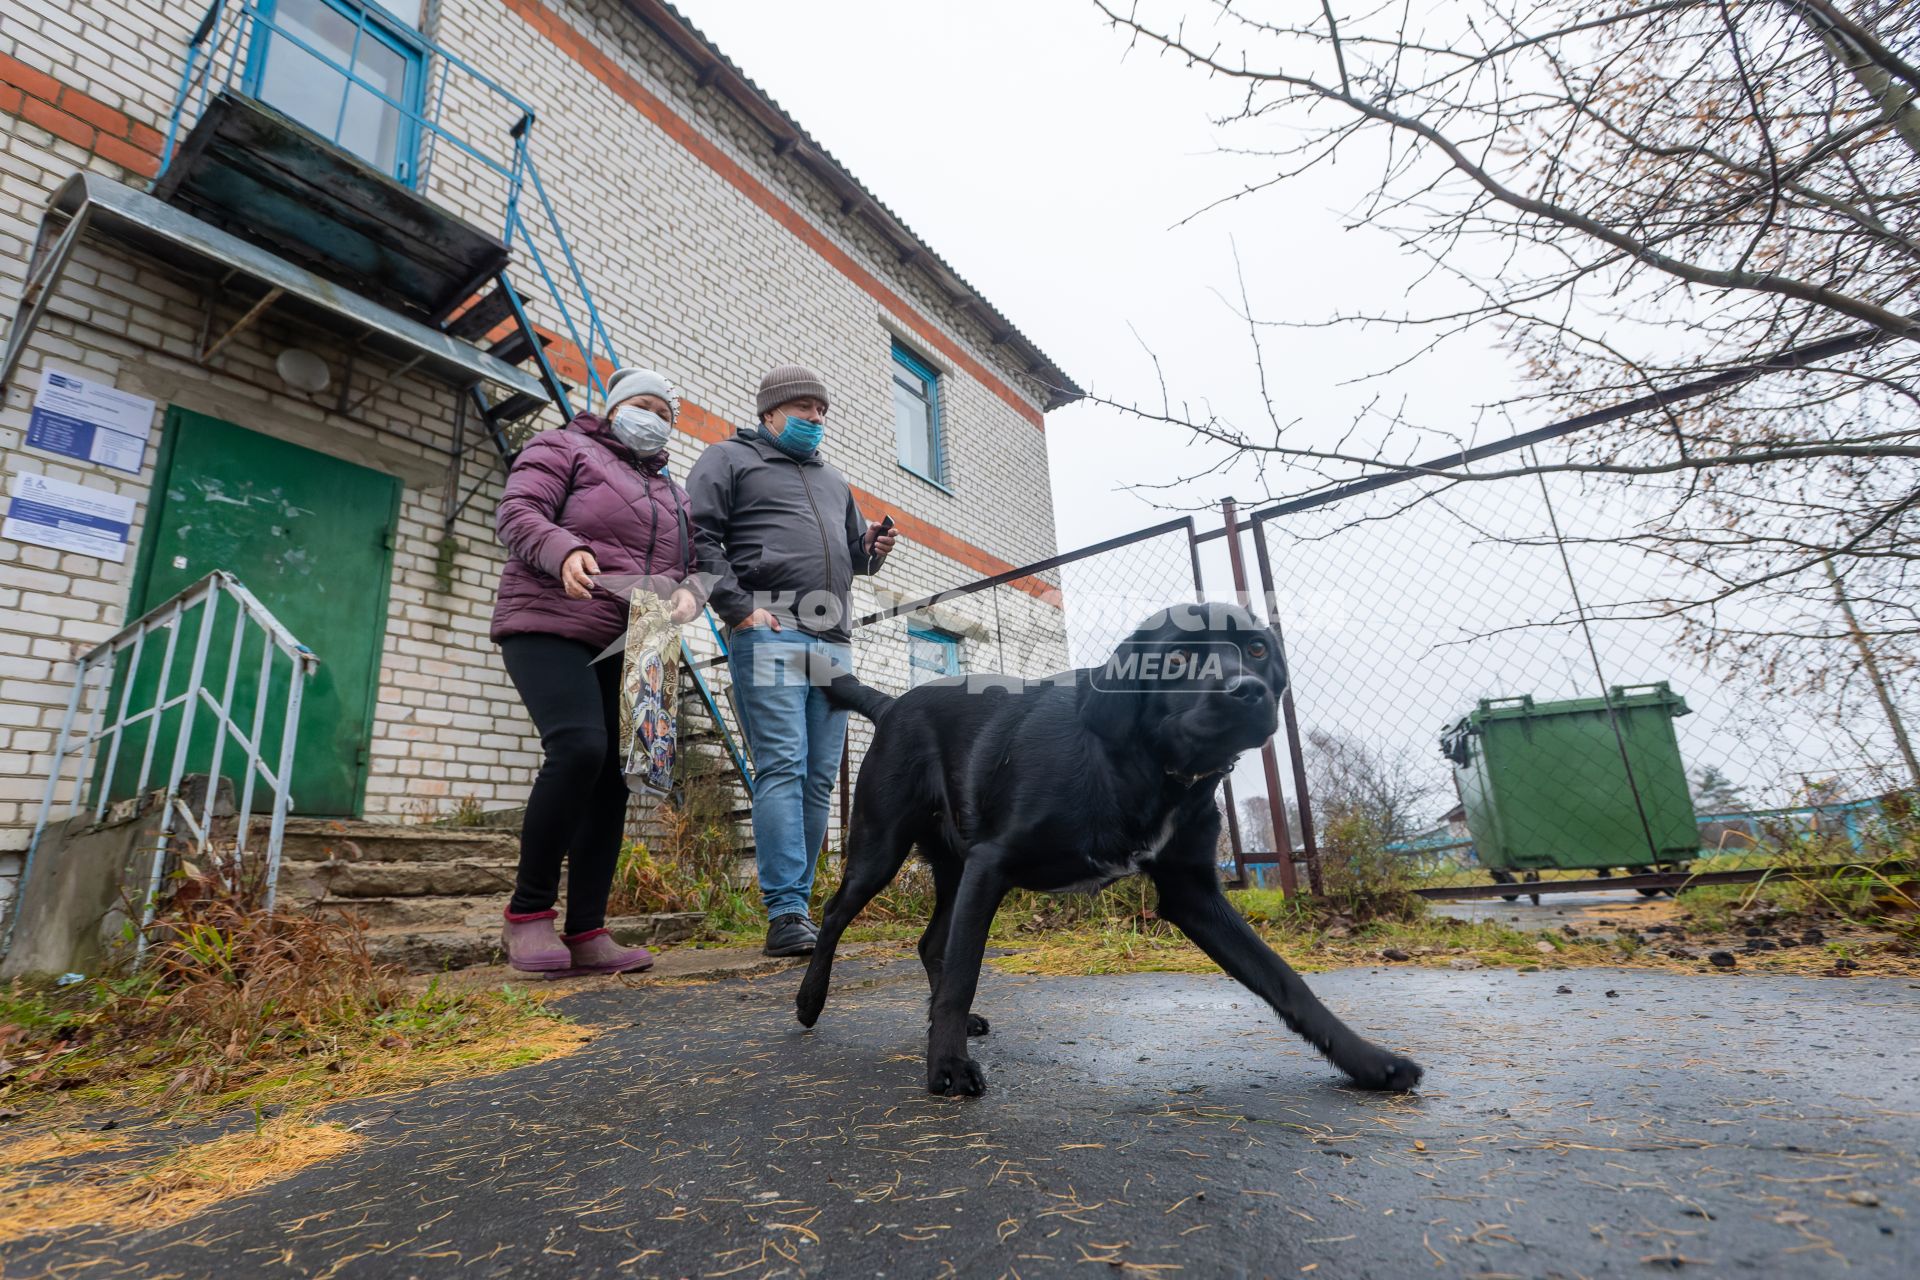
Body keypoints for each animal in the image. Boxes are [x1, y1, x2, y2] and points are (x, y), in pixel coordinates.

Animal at [794, 606, 1428, 1097]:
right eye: (1176, 662)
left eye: (1255, 650)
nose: (1247, 690)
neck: (1147, 768)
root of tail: (892, 704)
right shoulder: (993, 863)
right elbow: (965, 973)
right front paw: (946, 1065)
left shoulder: (1193, 894)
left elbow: (1287, 982)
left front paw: (1369, 1061)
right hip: (883, 848)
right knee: (836, 914)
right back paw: (809, 1000)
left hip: (955, 868)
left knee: (931, 943)